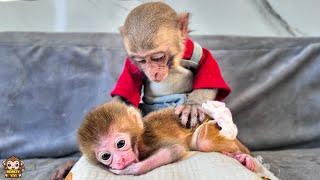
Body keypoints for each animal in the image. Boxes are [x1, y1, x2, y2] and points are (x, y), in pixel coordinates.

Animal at [79, 101, 256, 176]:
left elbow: (174, 150)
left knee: (204, 142)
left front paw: (130, 170)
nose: (119, 160)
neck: (139, 139)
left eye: (120, 144)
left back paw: (244, 156)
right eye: (106, 156)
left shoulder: (149, 140)